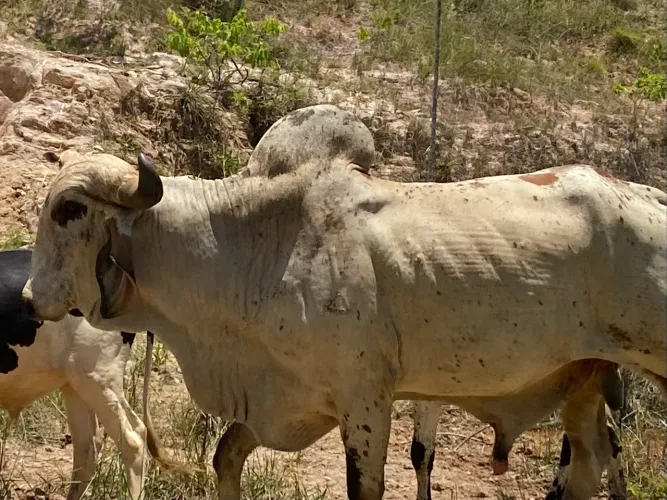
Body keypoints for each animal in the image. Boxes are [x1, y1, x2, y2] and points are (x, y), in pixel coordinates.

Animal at [21, 115, 666, 500]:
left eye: (70, 210)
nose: (27, 297)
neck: (252, 245)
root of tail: (650, 196)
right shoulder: (284, 398)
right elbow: (225, 458)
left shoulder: (365, 401)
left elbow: (367, 485)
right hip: (585, 385)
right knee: (589, 467)